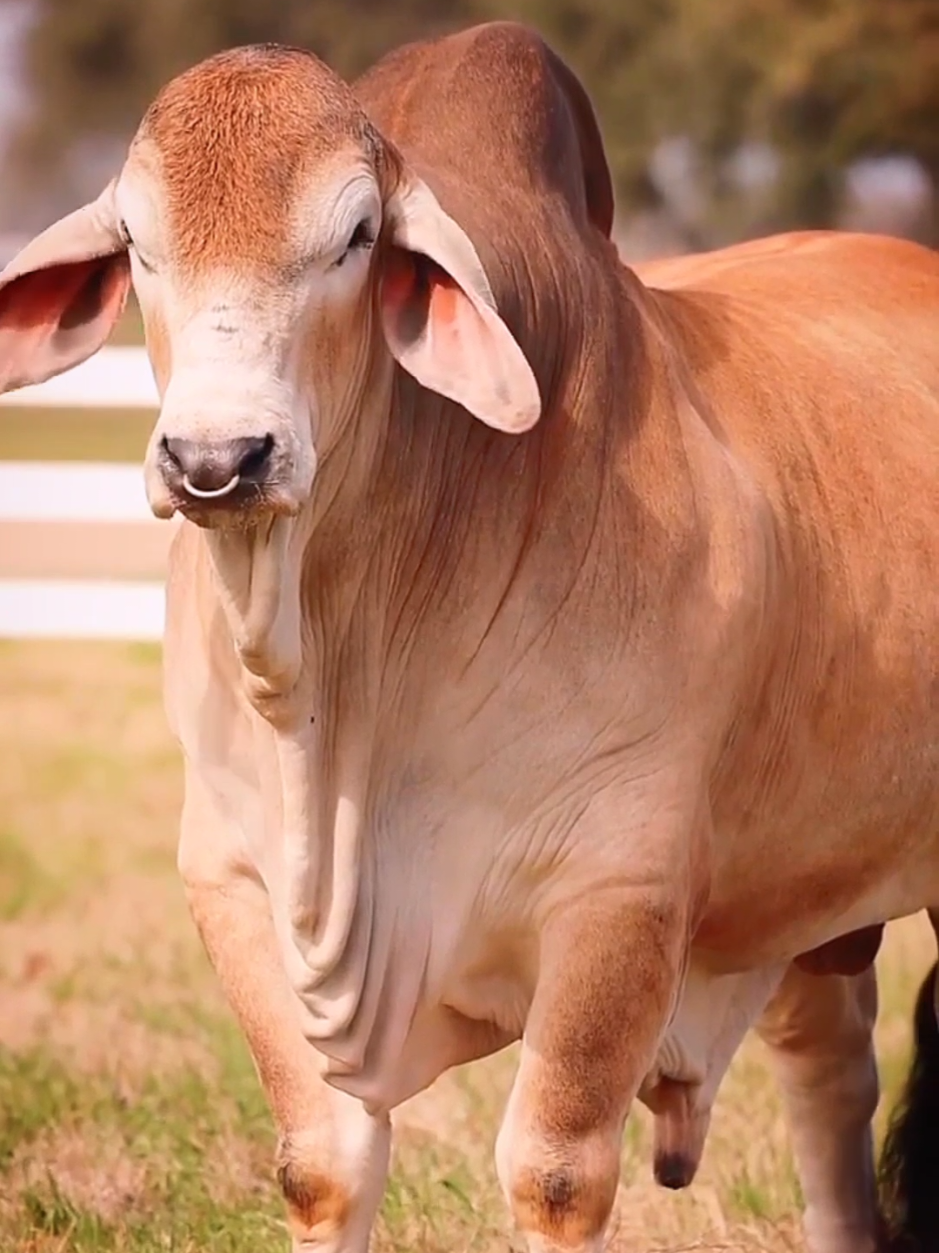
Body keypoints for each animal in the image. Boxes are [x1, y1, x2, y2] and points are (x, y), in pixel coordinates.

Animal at [1, 19, 938, 1253]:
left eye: (355, 237)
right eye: (138, 244)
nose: (216, 459)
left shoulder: (617, 892)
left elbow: (553, 1176)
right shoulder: (229, 877)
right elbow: (324, 1165)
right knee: (825, 1062)